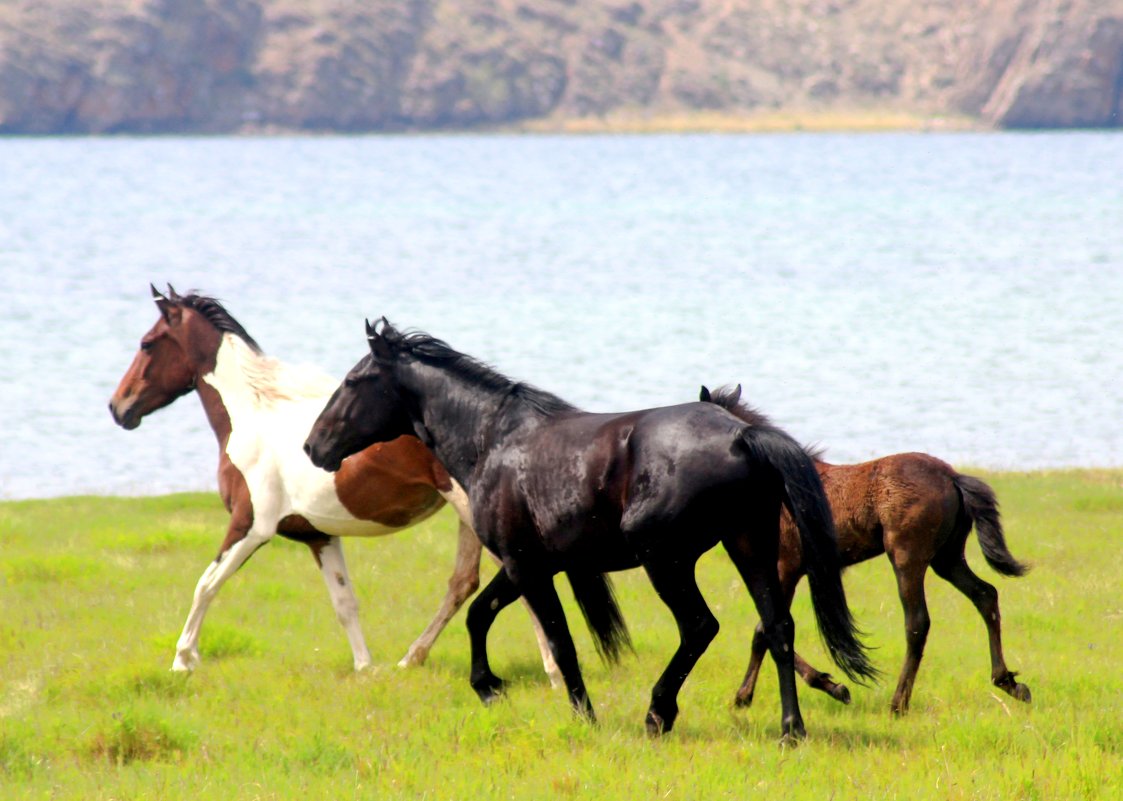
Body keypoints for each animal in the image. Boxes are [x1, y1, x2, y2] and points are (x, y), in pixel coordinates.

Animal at [109, 284, 557, 678]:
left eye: (147, 343)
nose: (118, 407)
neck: (253, 417)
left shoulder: (250, 525)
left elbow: (205, 584)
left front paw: (182, 661)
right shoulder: (318, 537)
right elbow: (344, 602)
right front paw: (365, 668)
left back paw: (552, 670)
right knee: (463, 582)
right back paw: (411, 659)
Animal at [305, 316, 875, 736]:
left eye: (353, 382)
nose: (313, 446)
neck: (494, 440)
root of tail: (740, 436)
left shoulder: (527, 567)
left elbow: (559, 642)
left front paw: (583, 716)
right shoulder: (529, 564)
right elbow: (480, 614)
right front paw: (488, 686)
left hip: (667, 560)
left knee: (700, 626)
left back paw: (659, 713)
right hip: (747, 545)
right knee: (777, 627)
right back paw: (790, 729)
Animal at [700, 384, 1033, 714]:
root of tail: (953, 477)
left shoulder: (785, 566)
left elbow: (765, 628)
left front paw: (746, 695)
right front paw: (828, 685)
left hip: (907, 558)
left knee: (918, 622)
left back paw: (898, 703)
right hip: (947, 558)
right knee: (985, 595)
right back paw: (1009, 682)